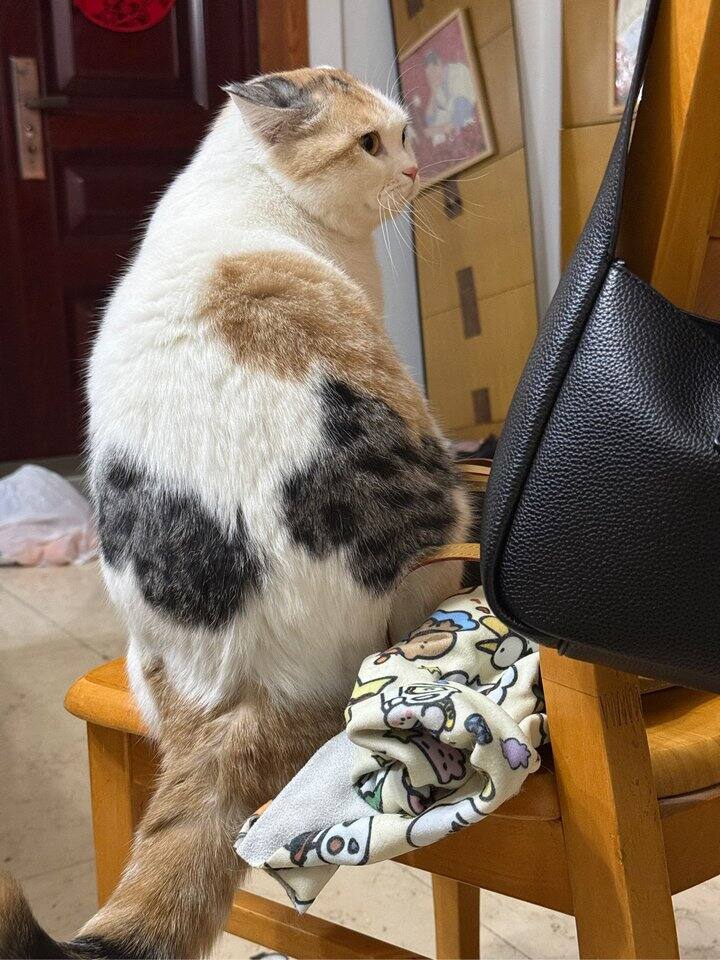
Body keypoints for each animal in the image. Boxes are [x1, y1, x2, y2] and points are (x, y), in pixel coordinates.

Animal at [0, 67, 471, 959]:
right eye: (371, 142)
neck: (250, 182)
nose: (413, 169)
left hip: (144, 661)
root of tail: (251, 684)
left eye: (403, 132)